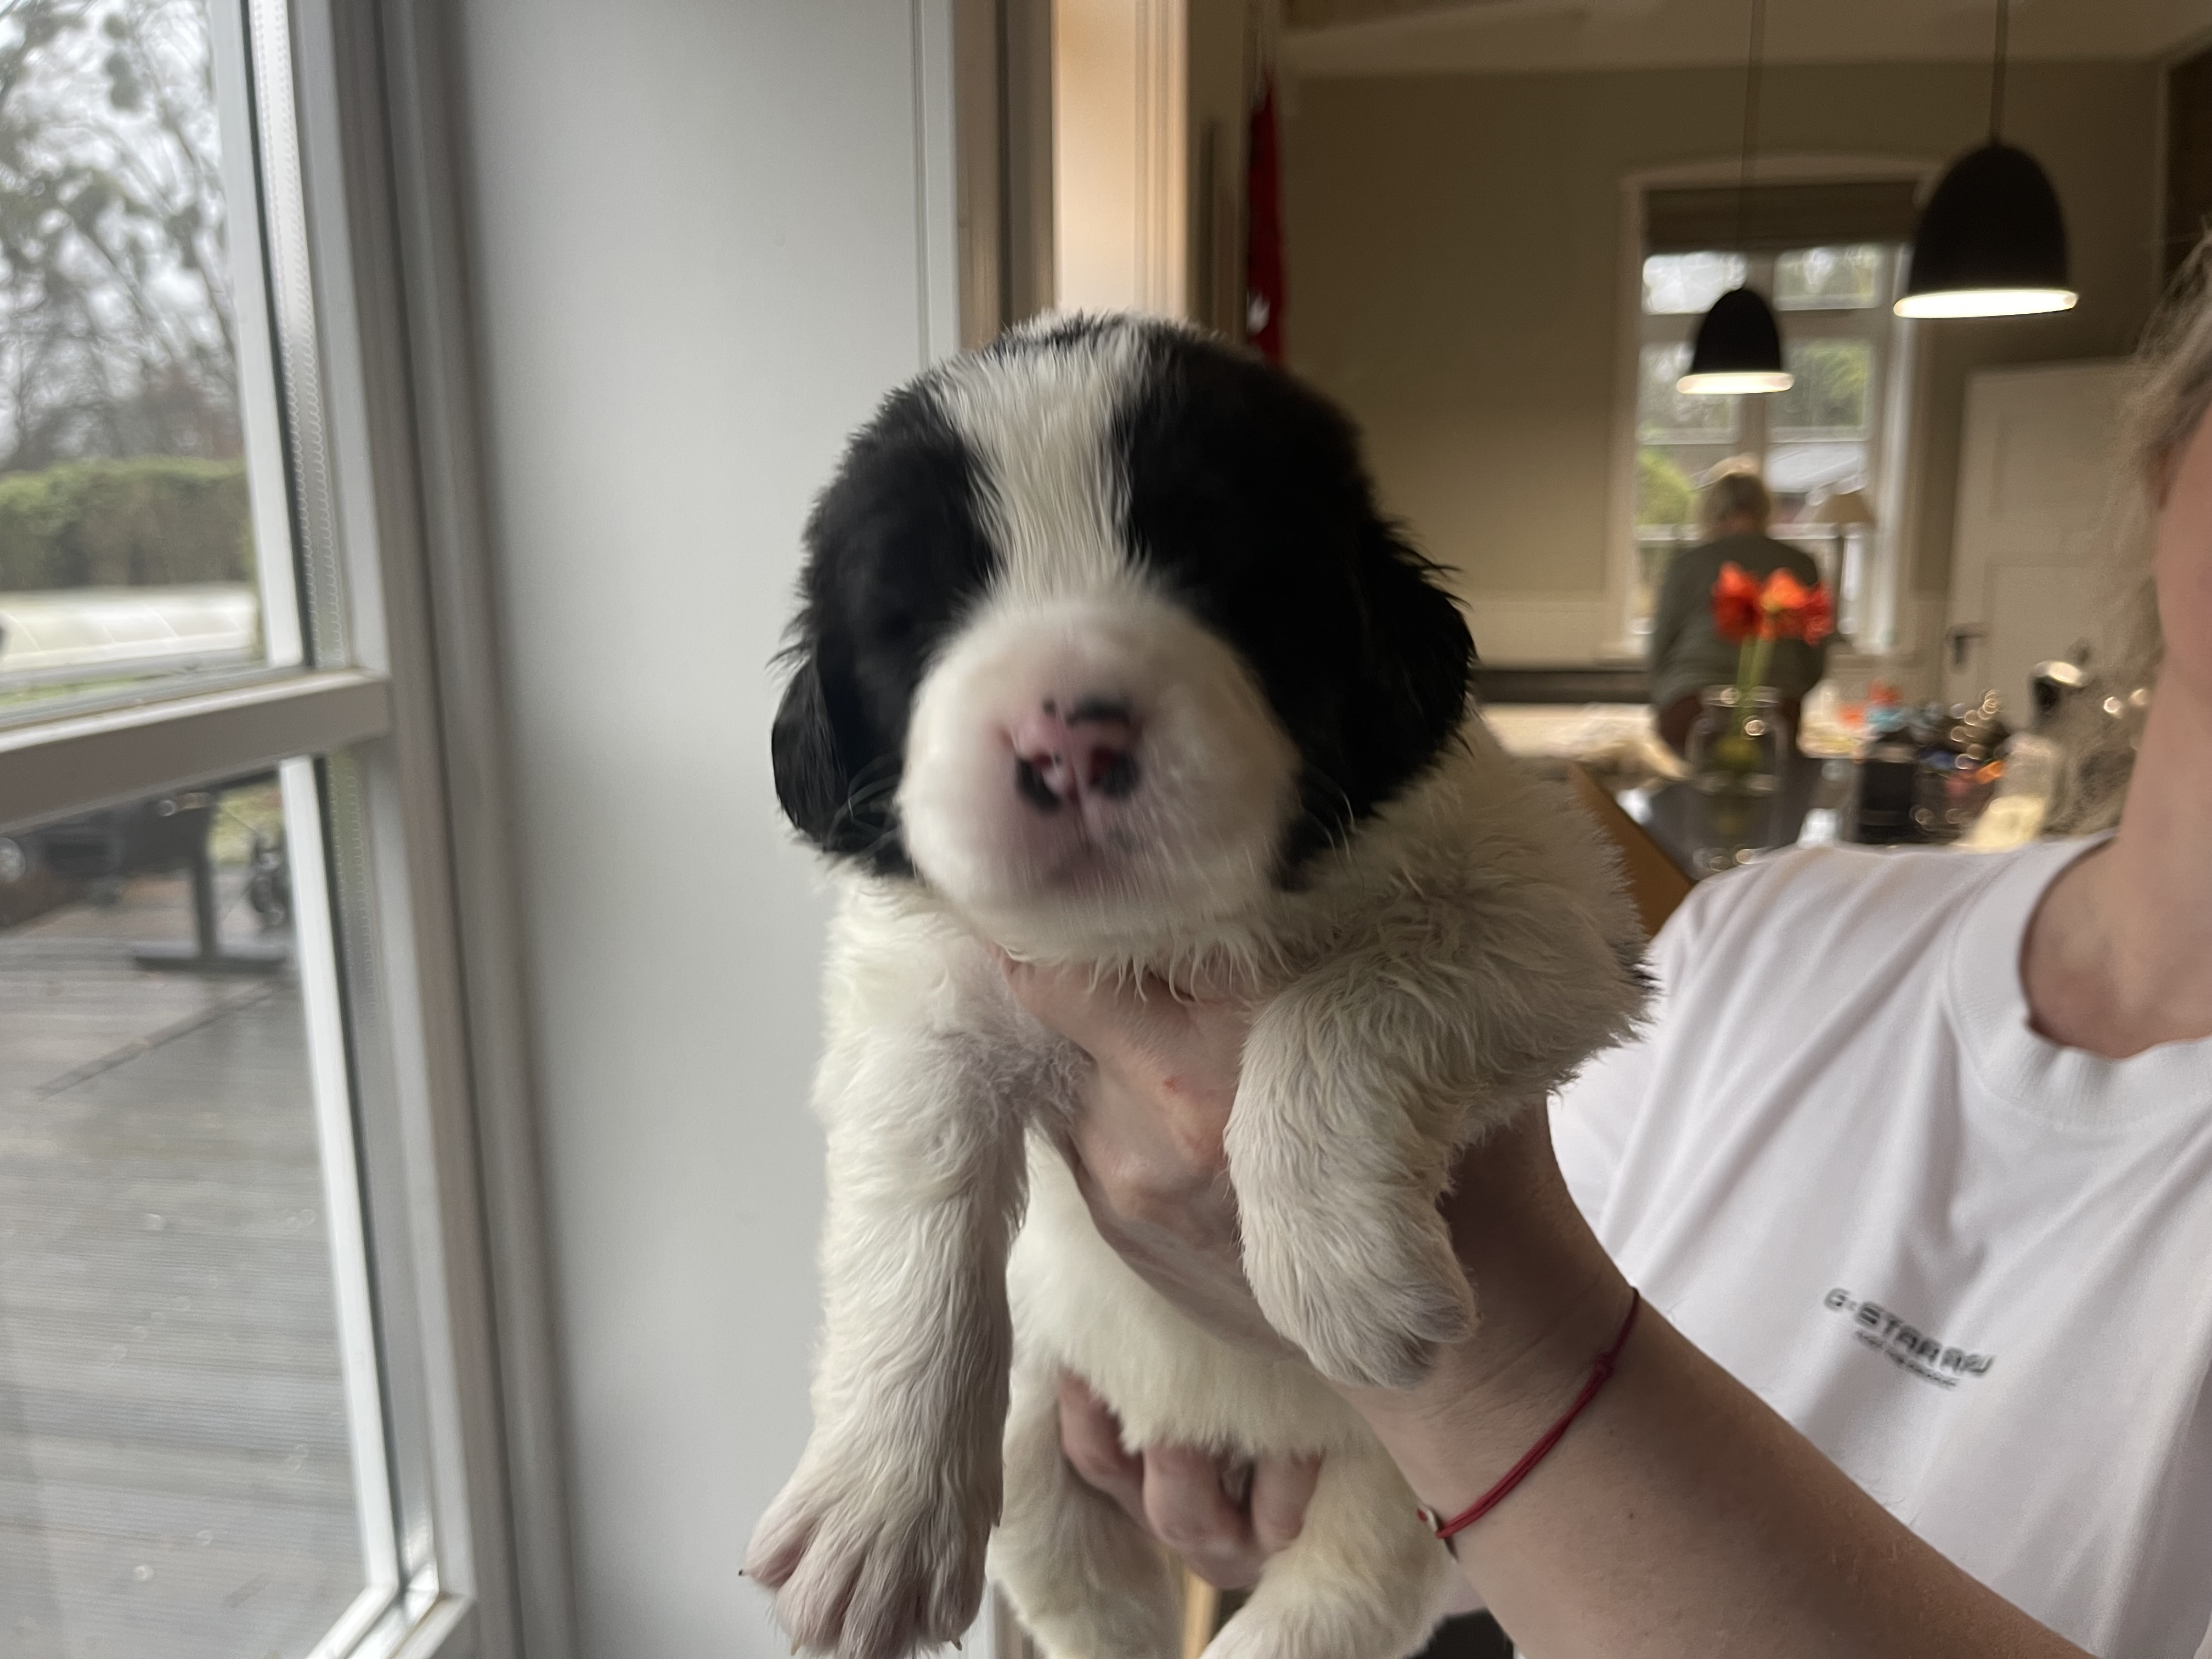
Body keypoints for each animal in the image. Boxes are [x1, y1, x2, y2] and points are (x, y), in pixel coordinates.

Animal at [746, 314, 1646, 1659]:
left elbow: (1348, 1001)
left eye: (1221, 573)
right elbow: (921, 1172)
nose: (1068, 738)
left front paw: (1338, 1265)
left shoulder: (1547, 906)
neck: (1156, 936)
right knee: (1082, 1581)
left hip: (1393, 1485)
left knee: (1347, 1590)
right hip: (1047, 1411)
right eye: (916, 616)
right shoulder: (925, 987)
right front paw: (875, 1504)